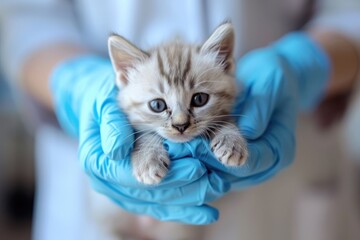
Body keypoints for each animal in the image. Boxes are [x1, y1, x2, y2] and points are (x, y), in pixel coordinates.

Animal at [107, 22, 248, 185]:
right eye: (157, 105)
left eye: (200, 99)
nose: (181, 125)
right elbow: (144, 133)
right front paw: (148, 159)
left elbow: (224, 119)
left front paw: (231, 140)